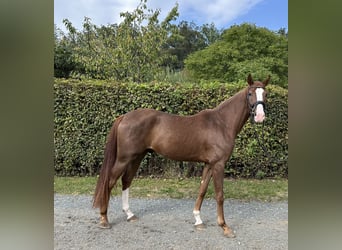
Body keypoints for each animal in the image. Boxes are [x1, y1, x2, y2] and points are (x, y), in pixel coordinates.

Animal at [93, 73, 270, 236]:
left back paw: (130, 215)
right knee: (110, 181)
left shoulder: (209, 164)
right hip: (124, 158)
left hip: (137, 157)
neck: (221, 123)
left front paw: (198, 220)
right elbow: (220, 195)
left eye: (265, 94)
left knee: (126, 180)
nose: (260, 117)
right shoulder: (219, 164)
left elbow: (202, 190)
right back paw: (104, 219)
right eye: (250, 93)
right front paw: (225, 227)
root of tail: (124, 117)